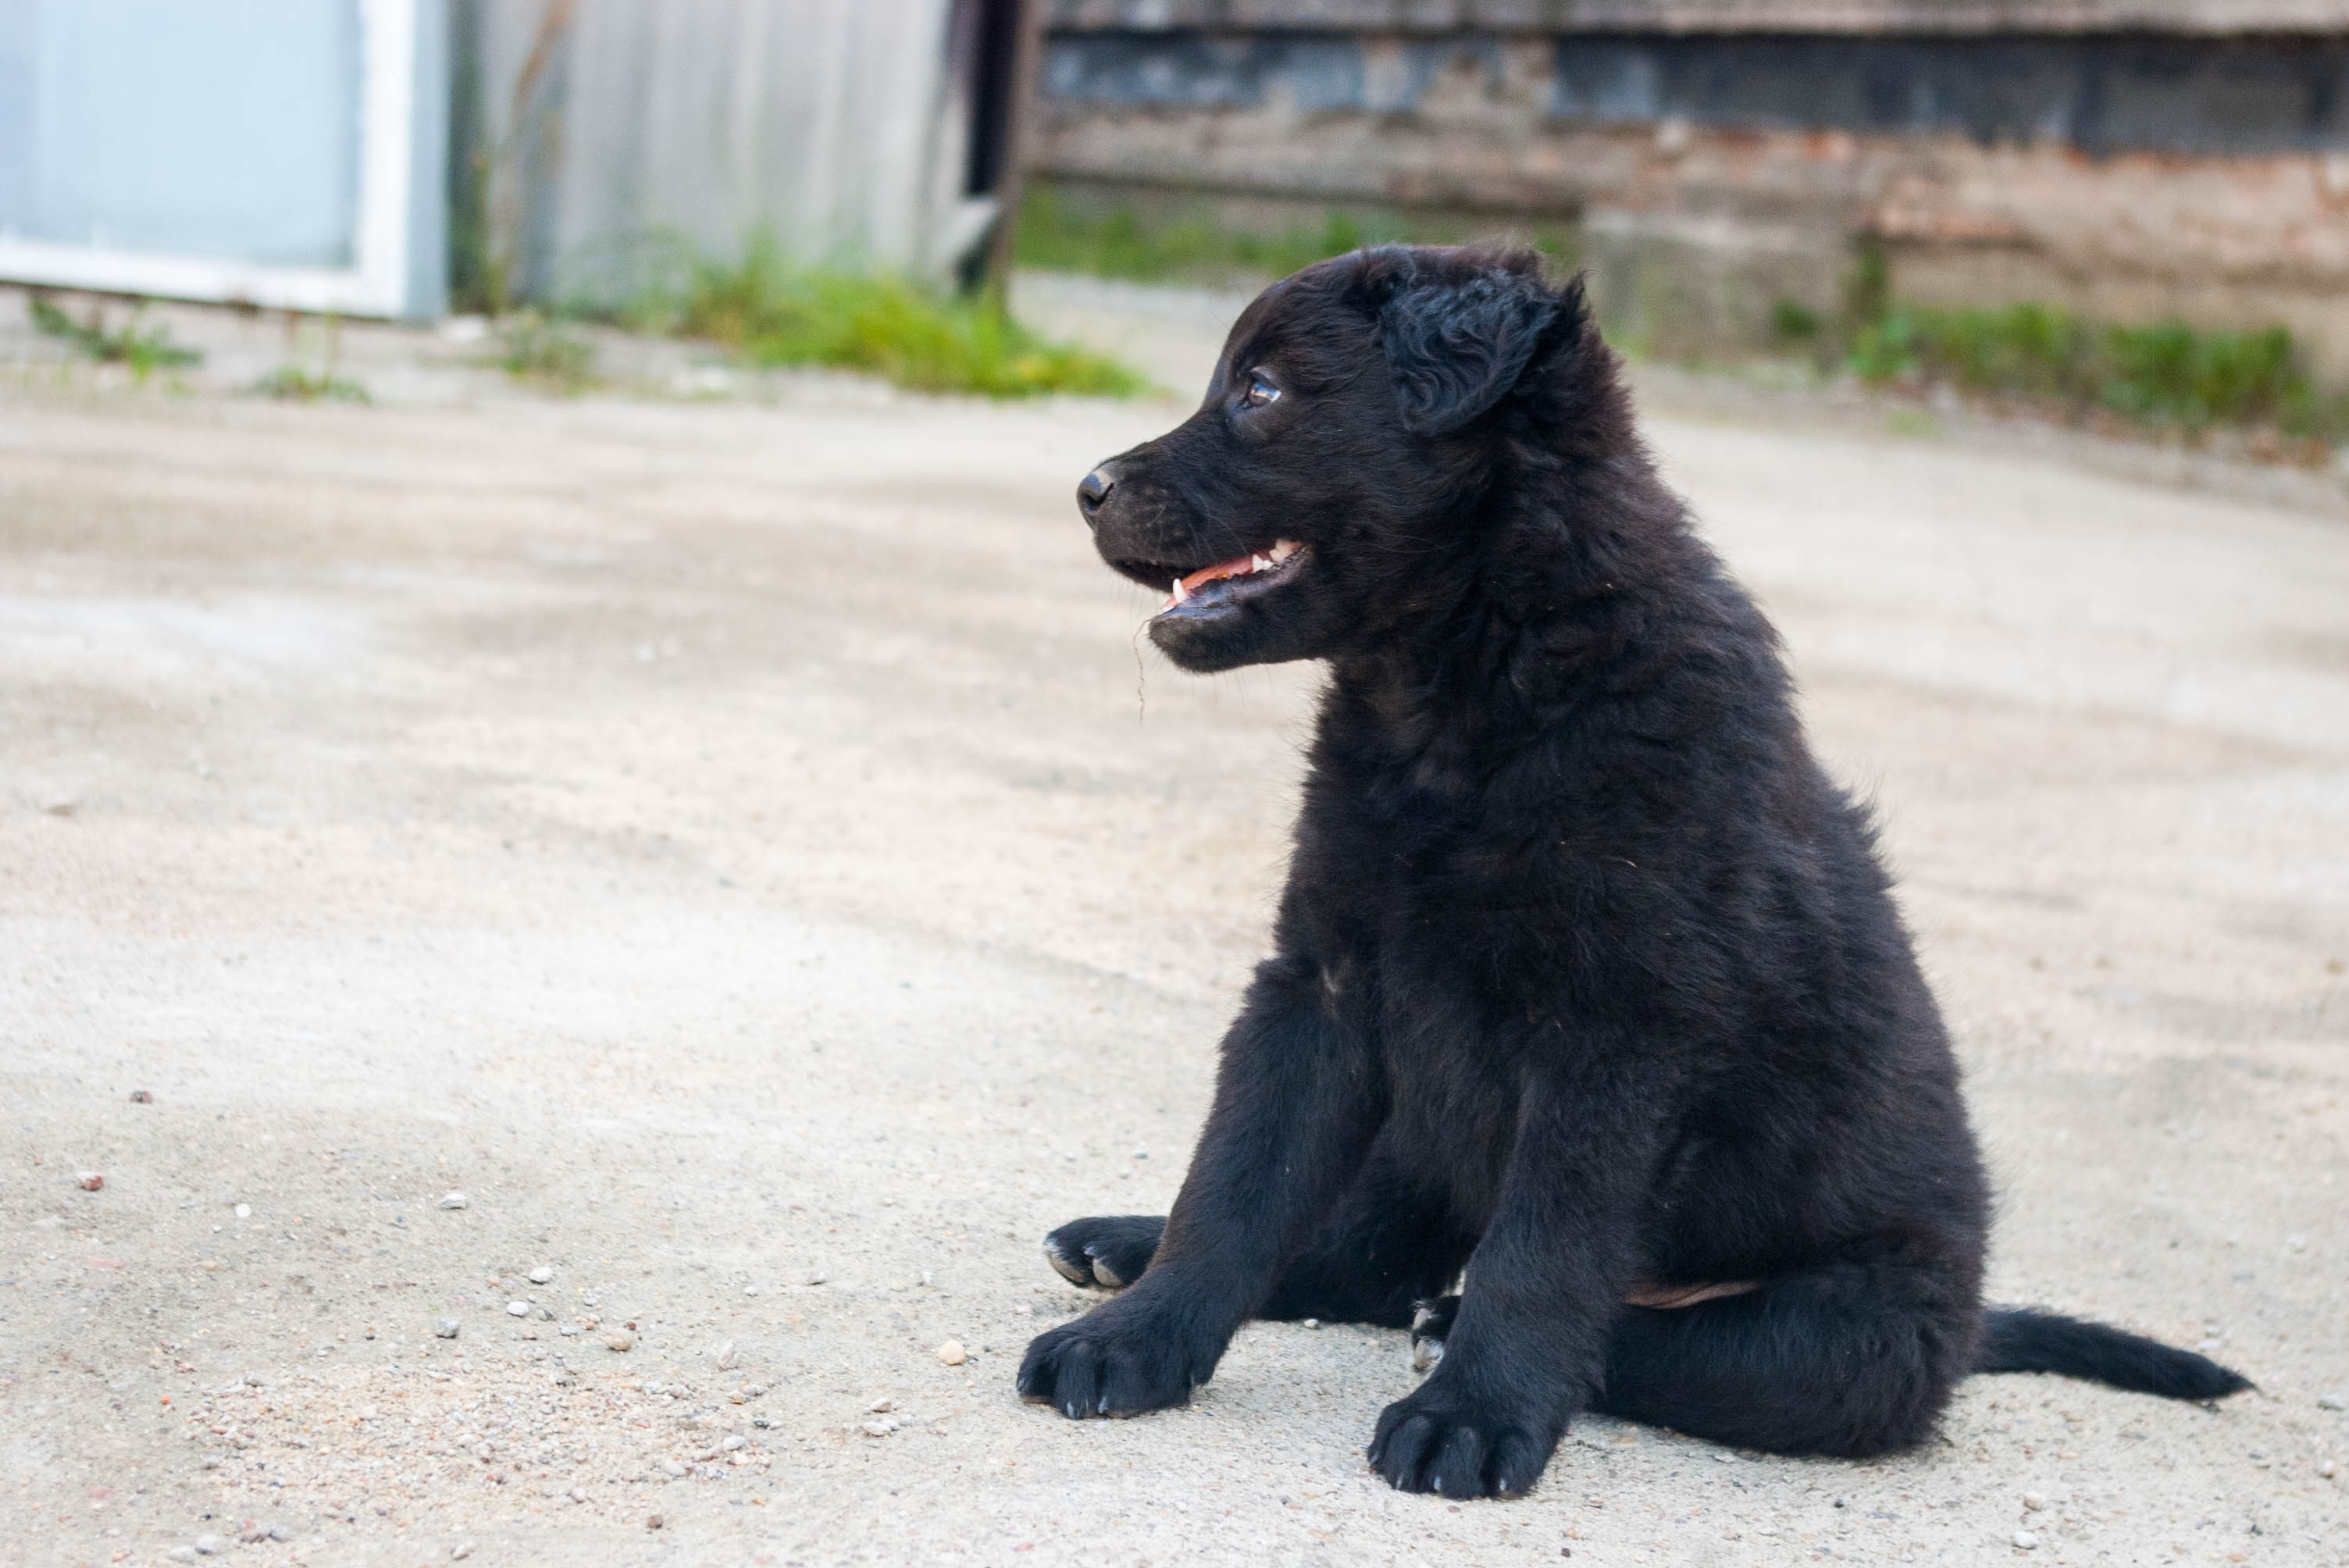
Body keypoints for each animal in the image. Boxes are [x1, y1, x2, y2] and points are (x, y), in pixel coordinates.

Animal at [1018, 244, 2247, 1499]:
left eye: (1259, 391)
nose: (1087, 487)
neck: (1471, 696)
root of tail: (1966, 1327)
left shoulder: (1617, 1031)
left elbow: (1542, 1252)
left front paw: (1471, 1416)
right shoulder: (1319, 982)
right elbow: (1234, 1187)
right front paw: (1137, 1338)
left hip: (1850, 1338)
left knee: (1633, 1333)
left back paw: (1451, 1333)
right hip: (1423, 1139)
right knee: (1358, 1253)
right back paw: (1122, 1248)